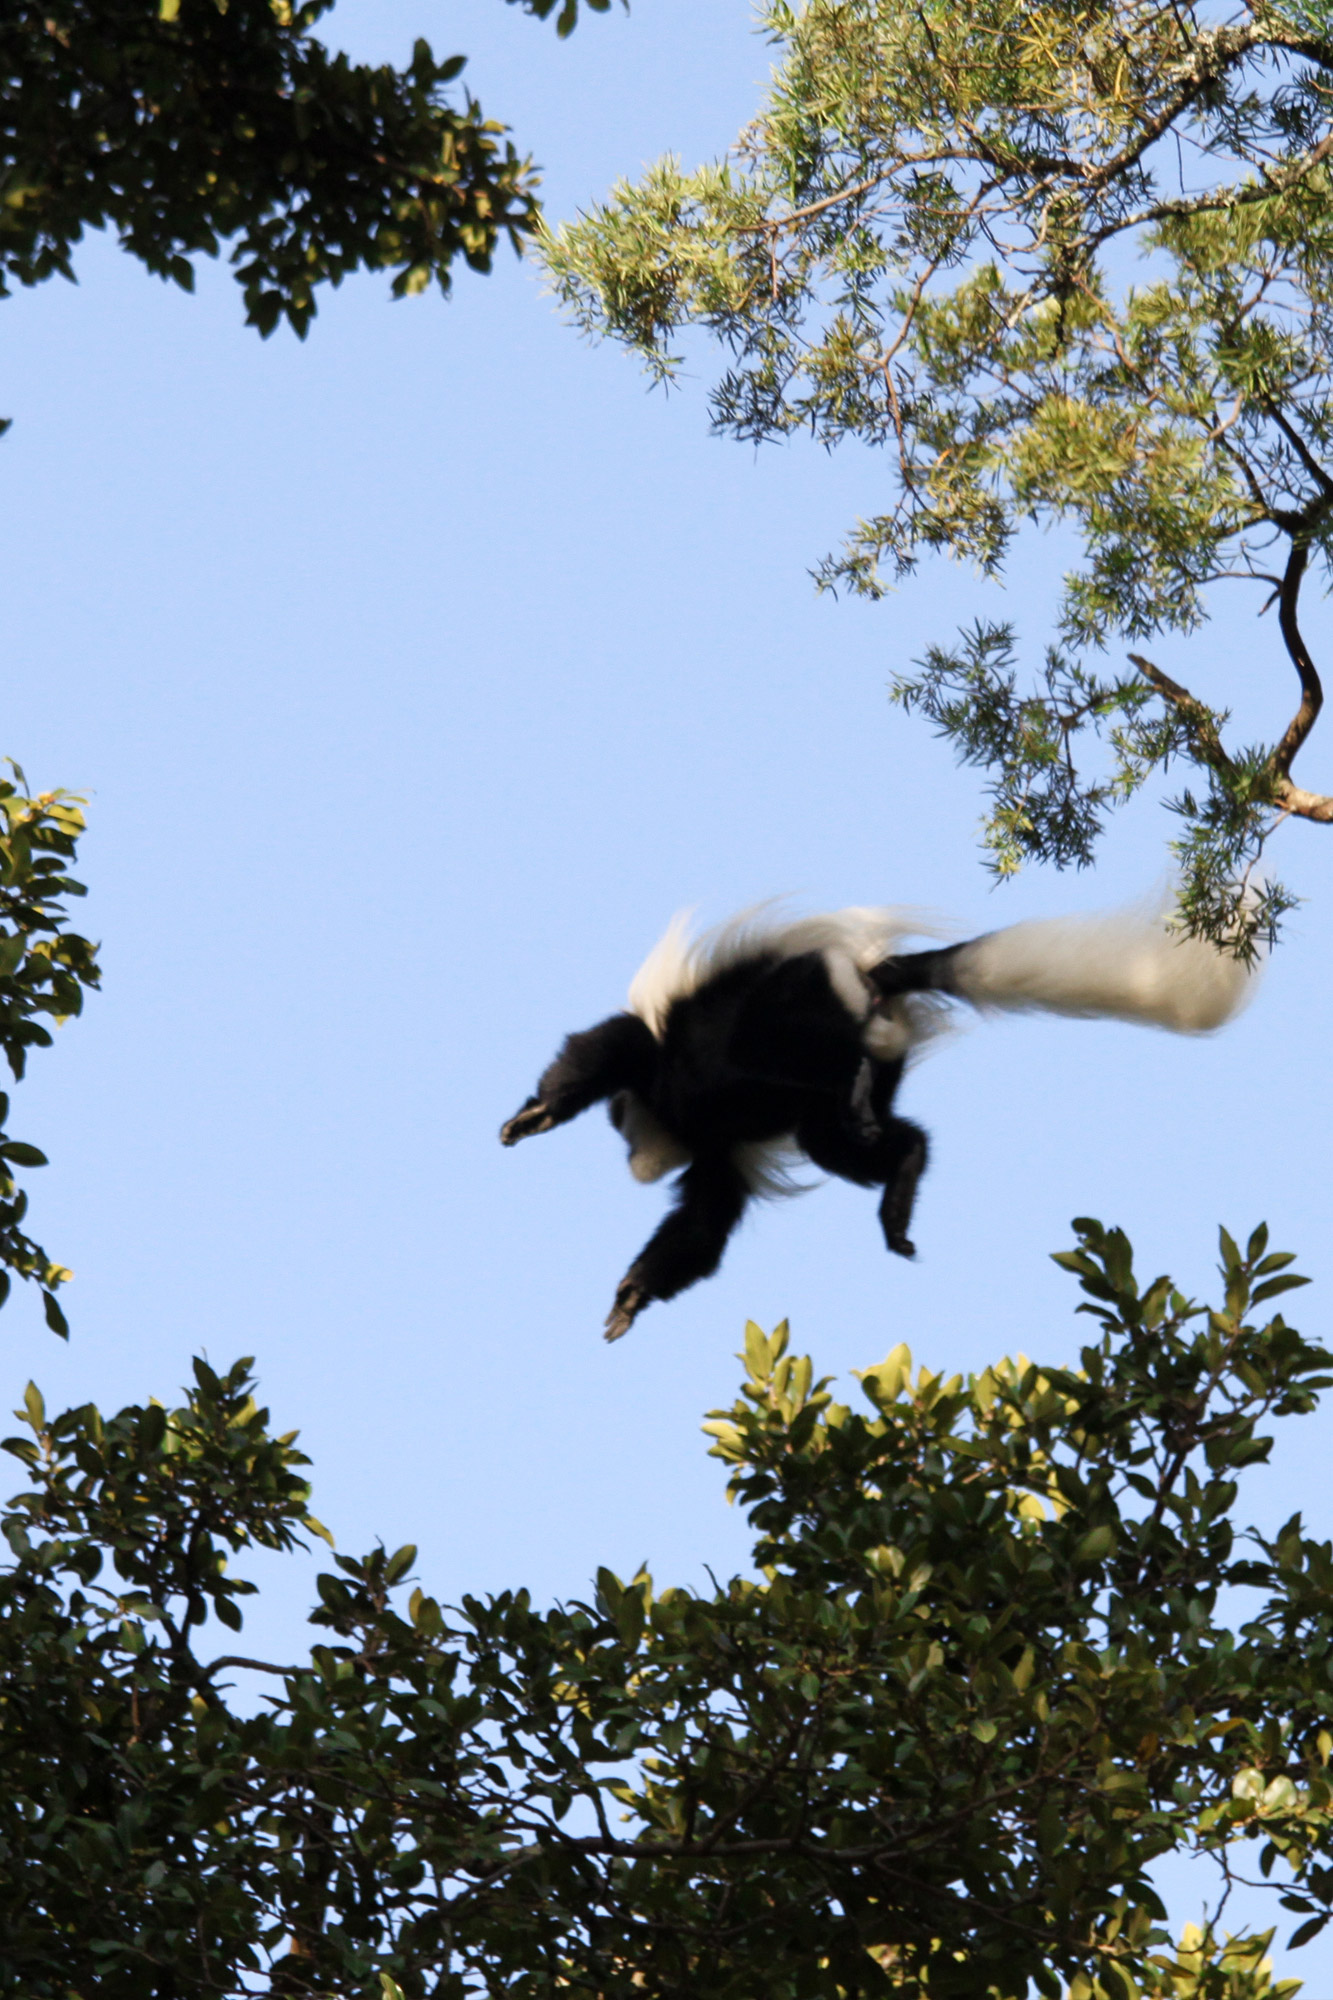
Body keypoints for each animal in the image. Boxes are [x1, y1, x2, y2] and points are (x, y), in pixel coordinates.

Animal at [500, 908, 1256, 1344]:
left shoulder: (664, 1069)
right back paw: (895, 1168)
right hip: (864, 1061)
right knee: (843, 1135)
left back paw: (856, 1093)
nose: (629, 1148)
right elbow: (703, 1228)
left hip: (803, 997)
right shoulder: (717, 1154)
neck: (675, 1111)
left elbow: (607, 1047)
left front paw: (533, 1117)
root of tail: (868, 978)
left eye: (621, 1125)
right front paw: (630, 1298)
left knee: (762, 1043)